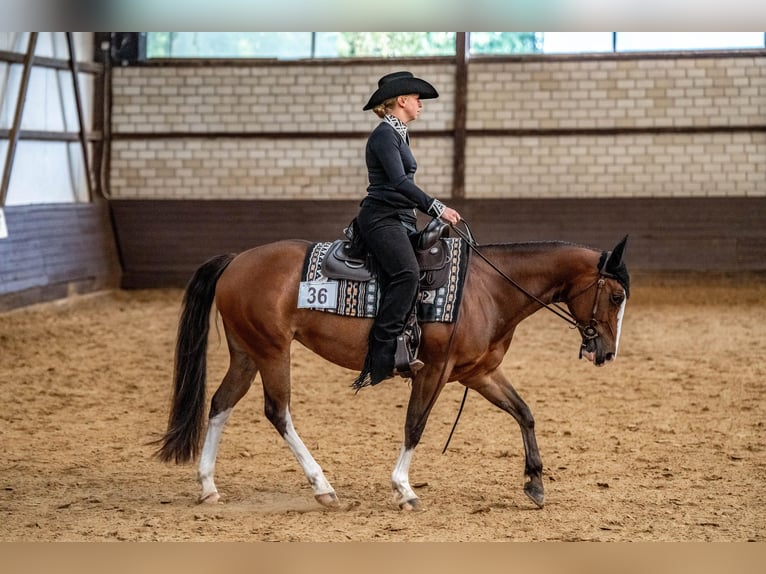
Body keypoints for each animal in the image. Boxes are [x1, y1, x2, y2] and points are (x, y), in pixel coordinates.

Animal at [154, 232, 630, 511]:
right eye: (616, 296)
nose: (607, 352)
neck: (487, 289)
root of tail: (236, 260)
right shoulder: (433, 370)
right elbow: (415, 425)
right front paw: (404, 489)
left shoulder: (479, 373)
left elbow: (525, 413)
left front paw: (535, 483)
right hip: (272, 352)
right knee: (278, 412)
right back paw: (322, 487)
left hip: (247, 353)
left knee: (220, 405)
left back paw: (208, 486)